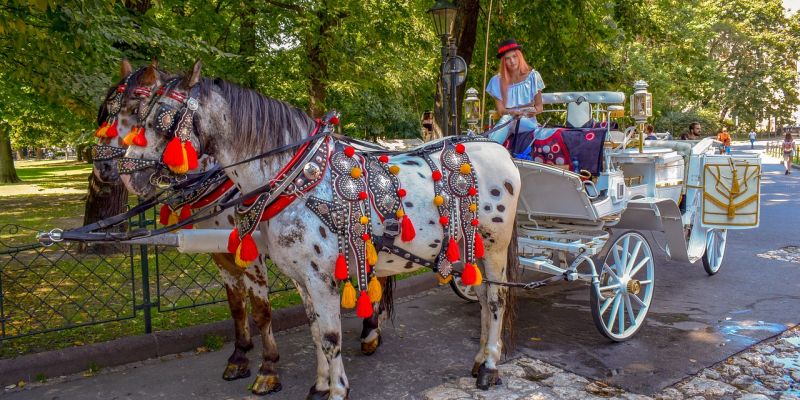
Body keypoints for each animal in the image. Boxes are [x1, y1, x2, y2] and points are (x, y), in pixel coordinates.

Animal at [93, 58, 284, 394]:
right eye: (106, 111)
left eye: (135, 109)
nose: (103, 166)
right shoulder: (221, 255)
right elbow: (236, 306)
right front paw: (239, 356)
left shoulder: (252, 258)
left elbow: (261, 311)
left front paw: (268, 367)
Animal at [119, 61, 520, 398]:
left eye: (159, 118)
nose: (127, 174)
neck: (295, 179)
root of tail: (494, 144)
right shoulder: (300, 278)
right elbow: (314, 332)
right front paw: (319, 385)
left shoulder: (320, 277)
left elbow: (329, 335)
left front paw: (337, 390)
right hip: (470, 253)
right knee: (482, 297)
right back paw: (480, 359)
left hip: (494, 247)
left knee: (496, 299)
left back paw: (489, 366)